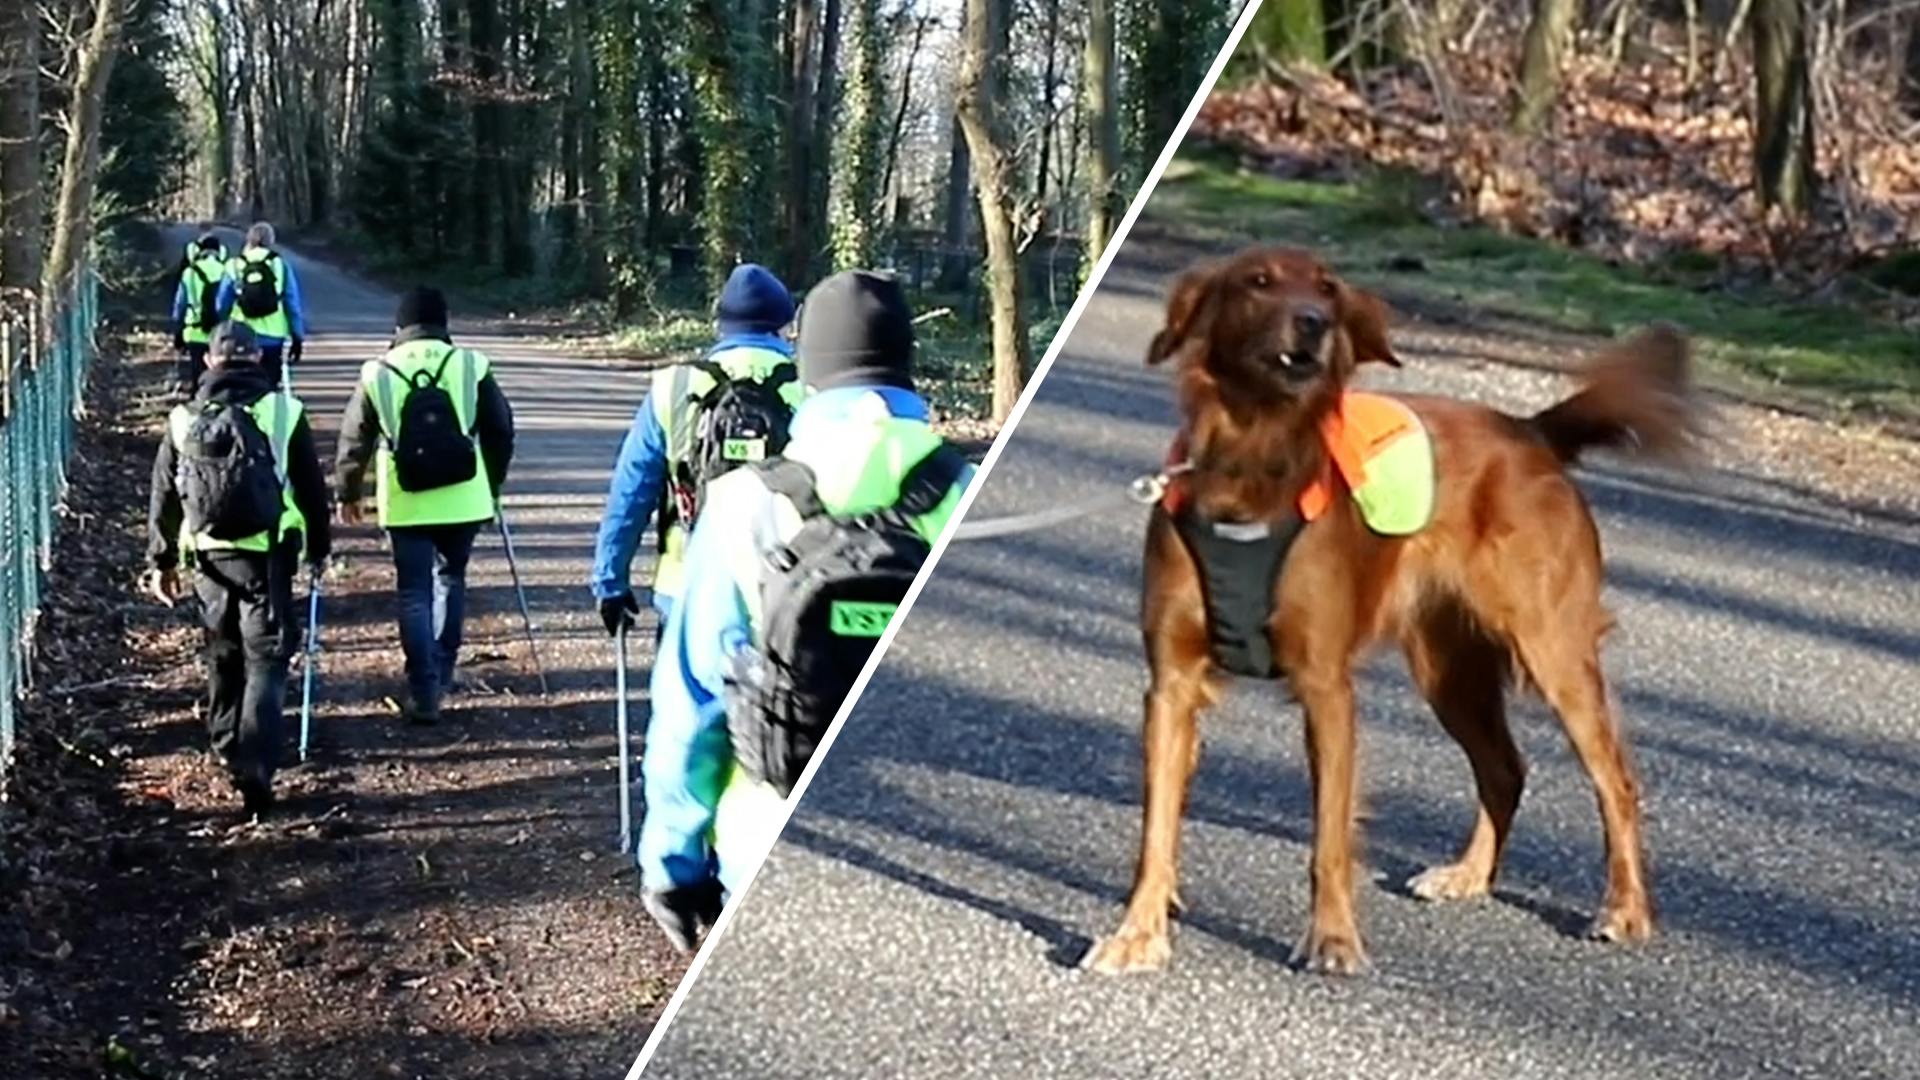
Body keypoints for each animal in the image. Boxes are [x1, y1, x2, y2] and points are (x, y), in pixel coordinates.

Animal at [1082, 247, 1697, 972]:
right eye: (1257, 282)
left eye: (1327, 289)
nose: (1314, 323)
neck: (1251, 462)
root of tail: (1528, 431)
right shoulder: (1172, 686)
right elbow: (1156, 831)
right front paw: (1138, 933)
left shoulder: (1326, 688)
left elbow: (1329, 838)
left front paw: (1333, 940)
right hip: (1448, 668)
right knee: (1504, 769)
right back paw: (1468, 876)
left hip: (1554, 649)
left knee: (1614, 782)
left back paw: (1624, 909)